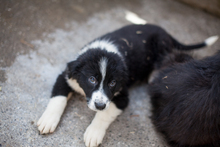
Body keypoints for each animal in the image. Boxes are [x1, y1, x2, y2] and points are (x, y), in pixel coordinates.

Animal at [37, 23, 217, 146]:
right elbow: (58, 98)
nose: (100, 105)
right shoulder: (67, 76)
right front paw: (48, 120)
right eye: (92, 79)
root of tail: (166, 33)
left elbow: (103, 115)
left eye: (112, 83)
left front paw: (93, 133)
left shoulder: (122, 96)